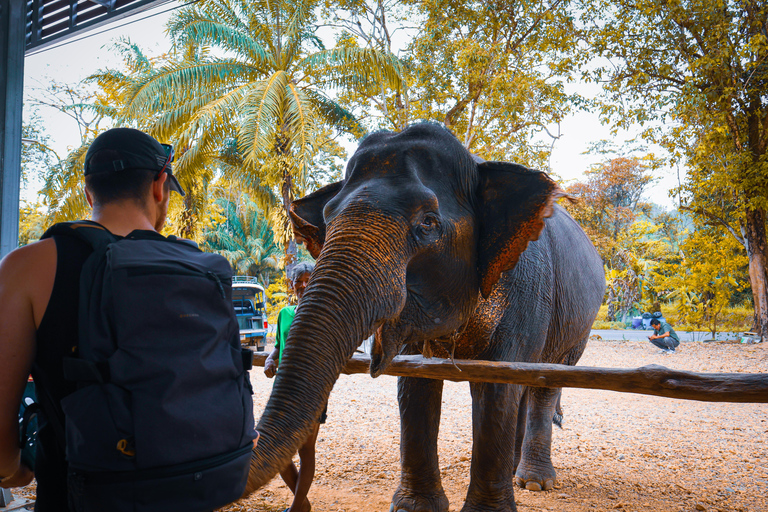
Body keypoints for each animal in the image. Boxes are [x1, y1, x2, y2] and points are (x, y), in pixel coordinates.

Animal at [246, 123, 608, 512]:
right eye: (328, 220)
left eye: (428, 223)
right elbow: (416, 382)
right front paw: (414, 507)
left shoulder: (527, 288)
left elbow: (497, 384)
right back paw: (516, 472)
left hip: (579, 327)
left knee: (546, 382)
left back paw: (535, 482)